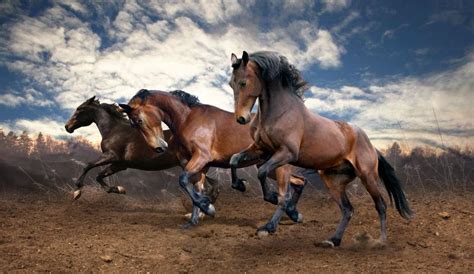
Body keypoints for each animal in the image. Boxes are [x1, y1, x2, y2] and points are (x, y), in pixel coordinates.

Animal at [64, 95, 218, 202]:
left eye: (79, 109)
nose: (67, 127)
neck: (114, 130)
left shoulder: (111, 156)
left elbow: (88, 165)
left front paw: (77, 192)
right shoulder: (120, 164)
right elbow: (99, 176)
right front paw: (119, 189)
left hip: (188, 165)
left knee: (206, 187)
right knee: (213, 186)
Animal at [119, 90, 308, 231]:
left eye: (139, 120)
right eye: (134, 124)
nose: (158, 147)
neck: (187, 118)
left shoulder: (201, 158)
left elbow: (183, 180)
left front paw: (208, 208)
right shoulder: (199, 166)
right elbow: (195, 188)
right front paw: (193, 220)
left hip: (279, 167)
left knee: (285, 195)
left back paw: (271, 225)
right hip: (268, 167)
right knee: (300, 182)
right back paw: (294, 214)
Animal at [229, 50, 412, 246]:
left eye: (243, 82)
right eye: (231, 84)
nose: (241, 119)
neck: (279, 112)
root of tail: (372, 147)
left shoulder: (287, 153)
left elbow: (264, 174)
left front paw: (269, 220)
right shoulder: (260, 149)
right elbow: (234, 160)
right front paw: (240, 185)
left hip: (367, 177)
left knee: (381, 205)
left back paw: (380, 241)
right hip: (333, 181)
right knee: (348, 209)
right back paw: (333, 240)